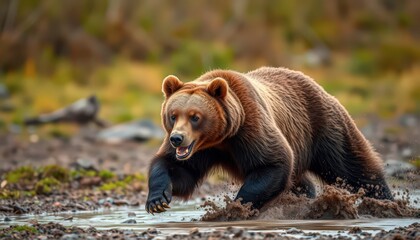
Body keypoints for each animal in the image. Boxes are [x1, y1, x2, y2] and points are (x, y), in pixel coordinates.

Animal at [145, 66, 394, 214]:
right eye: (173, 115)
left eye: (195, 116)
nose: (177, 139)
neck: (221, 138)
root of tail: (315, 83)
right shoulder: (204, 150)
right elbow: (177, 169)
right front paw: (157, 200)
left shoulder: (250, 128)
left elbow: (273, 162)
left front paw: (237, 207)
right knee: (302, 181)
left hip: (323, 125)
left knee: (351, 166)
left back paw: (384, 200)